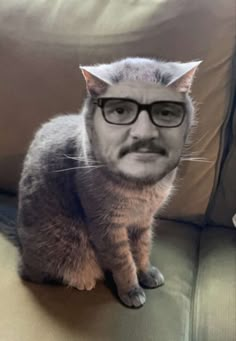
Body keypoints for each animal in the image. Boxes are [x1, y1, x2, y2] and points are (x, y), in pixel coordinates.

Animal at [13, 57, 201, 306]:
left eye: (164, 112)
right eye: (120, 111)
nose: (143, 136)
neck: (141, 187)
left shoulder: (144, 220)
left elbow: (142, 249)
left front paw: (146, 272)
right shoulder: (106, 225)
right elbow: (123, 261)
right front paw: (131, 290)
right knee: (33, 273)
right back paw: (82, 281)